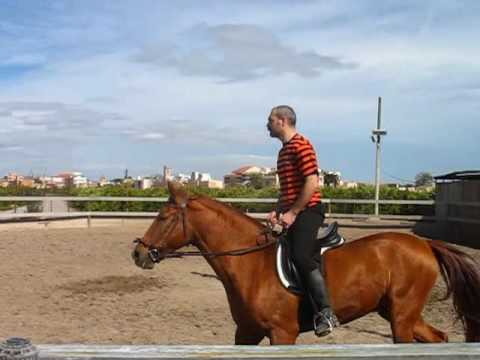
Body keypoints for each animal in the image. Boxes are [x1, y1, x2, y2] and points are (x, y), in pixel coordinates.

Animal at [131, 184, 480, 344]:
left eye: (163, 217)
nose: (139, 253)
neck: (252, 264)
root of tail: (424, 244)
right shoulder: (247, 331)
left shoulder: (282, 333)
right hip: (397, 312)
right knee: (439, 338)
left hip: (401, 317)